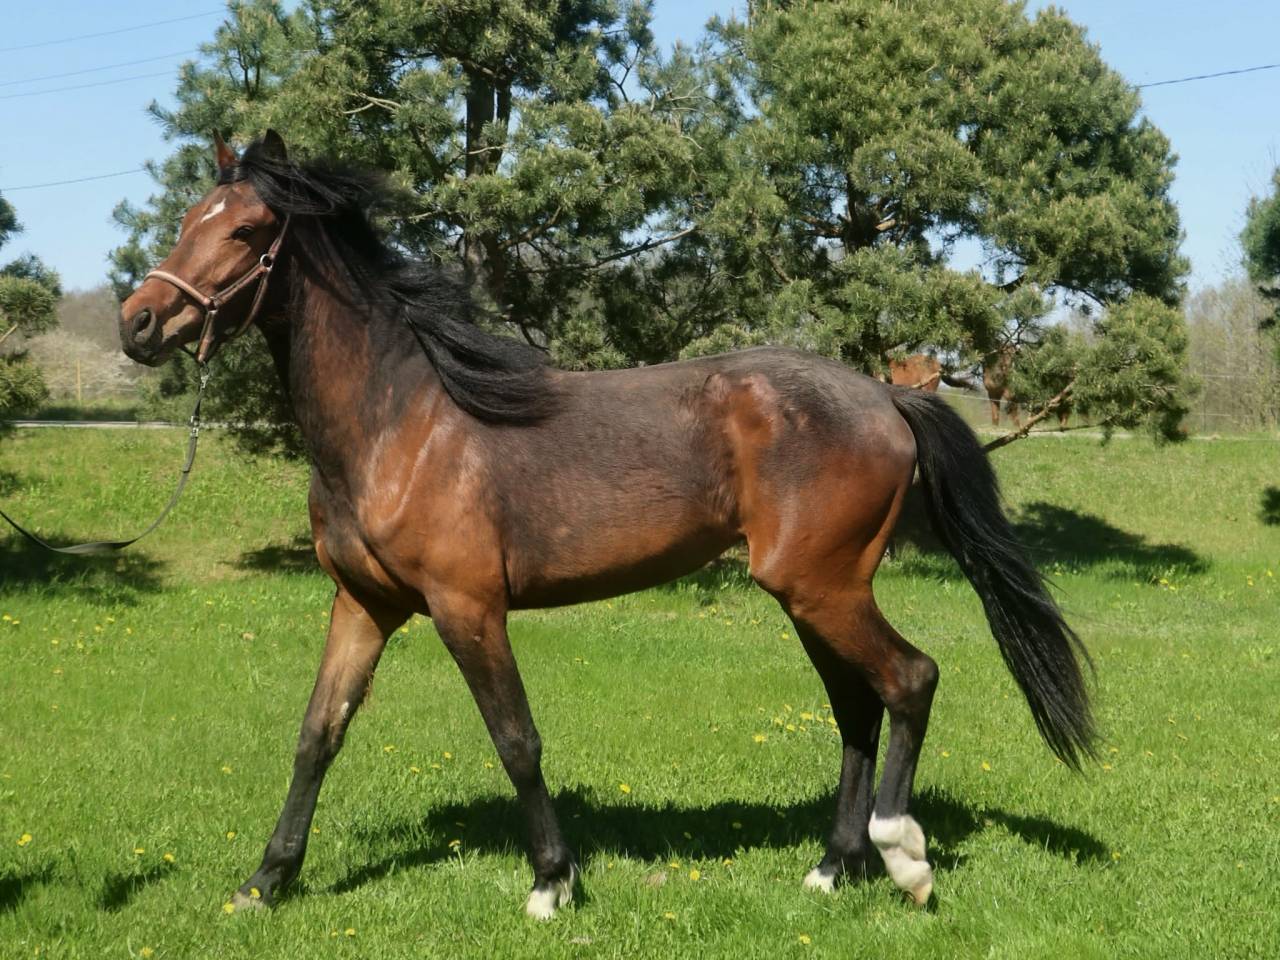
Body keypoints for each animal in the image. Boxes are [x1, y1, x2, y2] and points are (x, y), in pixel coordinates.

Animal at [118, 132, 1094, 917]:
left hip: (822, 587)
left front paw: (553, 882)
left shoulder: (467, 608)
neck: (401, 424)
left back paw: (902, 856)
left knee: (910, 680)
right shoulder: (364, 605)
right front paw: (265, 882)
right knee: (858, 704)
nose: (139, 323)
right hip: (813, 593)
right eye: (190, 218)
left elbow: (516, 740)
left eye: (247, 231)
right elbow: (317, 736)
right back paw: (831, 868)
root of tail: (887, 398)